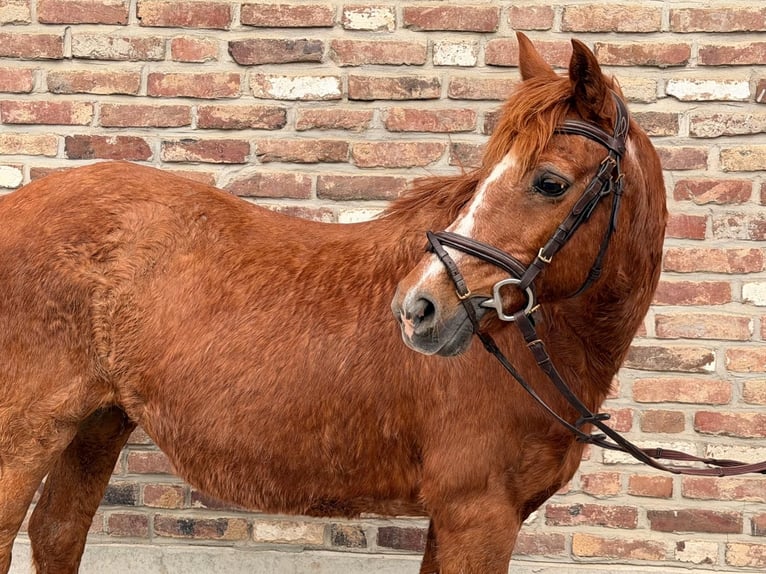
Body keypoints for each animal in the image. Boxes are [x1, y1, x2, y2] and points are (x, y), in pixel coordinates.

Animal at [0, 34, 666, 573]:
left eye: (550, 182)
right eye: (485, 177)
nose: (418, 309)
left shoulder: (459, 518)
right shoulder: (477, 514)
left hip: (98, 421)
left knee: (57, 533)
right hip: (28, 433)